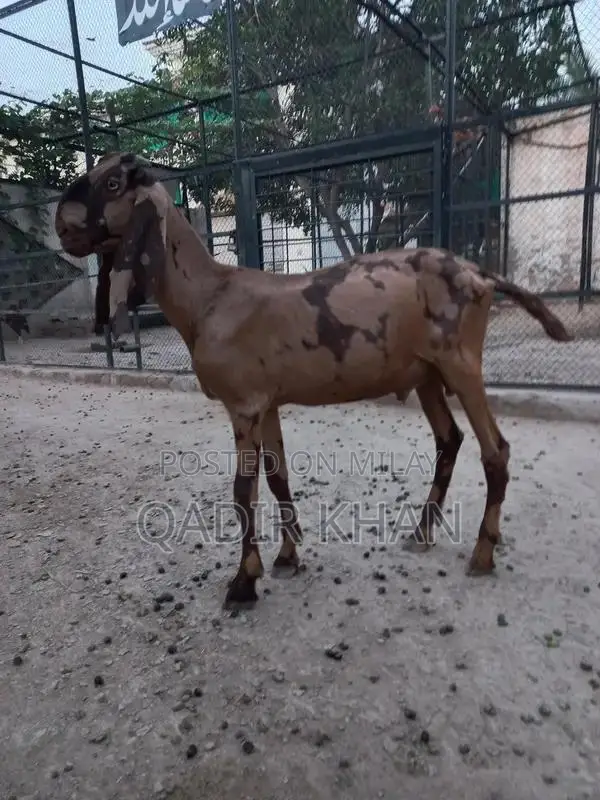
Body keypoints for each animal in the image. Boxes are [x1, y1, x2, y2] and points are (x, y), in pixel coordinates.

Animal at [54, 152, 573, 610]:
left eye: (113, 183)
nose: (62, 226)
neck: (209, 297)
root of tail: (480, 274)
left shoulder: (243, 403)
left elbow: (242, 491)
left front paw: (243, 583)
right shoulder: (266, 401)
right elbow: (277, 476)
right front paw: (287, 557)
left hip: (462, 362)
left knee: (495, 451)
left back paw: (482, 554)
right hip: (428, 372)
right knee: (450, 439)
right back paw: (421, 533)